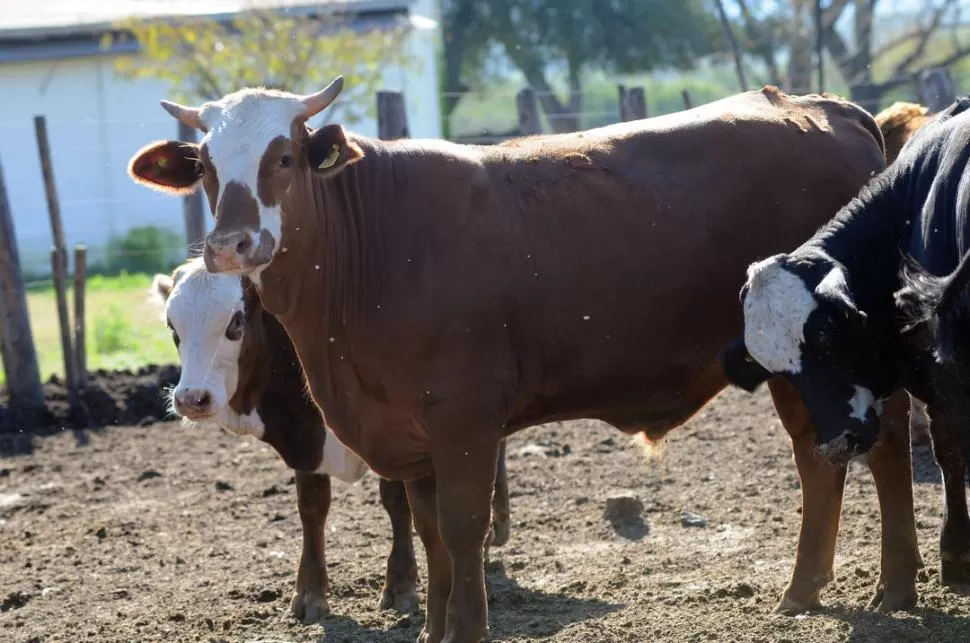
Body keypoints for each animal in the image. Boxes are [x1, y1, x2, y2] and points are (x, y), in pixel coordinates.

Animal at [150, 256, 510, 624]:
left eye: (236, 321)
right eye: (172, 326)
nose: (191, 399)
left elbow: (397, 503)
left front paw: (401, 585)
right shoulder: (305, 441)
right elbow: (312, 508)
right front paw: (310, 593)